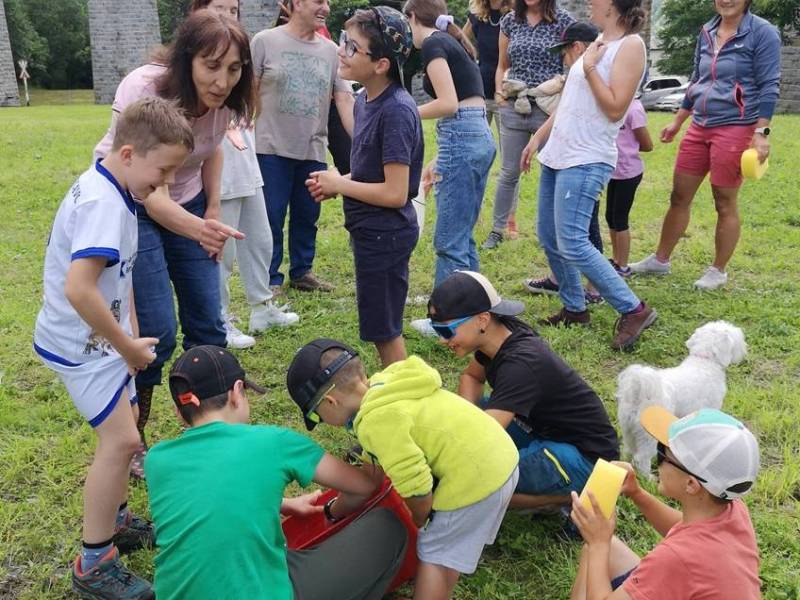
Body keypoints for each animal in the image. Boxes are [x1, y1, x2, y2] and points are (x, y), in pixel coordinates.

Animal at [616, 322, 748, 476]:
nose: (744, 350)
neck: (704, 360)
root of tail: (639, 390)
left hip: (628, 428)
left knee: (628, 449)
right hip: (648, 434)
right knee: (641, 458)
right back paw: (648, 477)